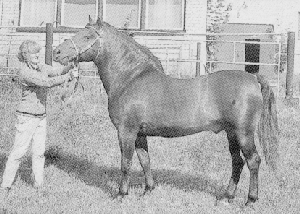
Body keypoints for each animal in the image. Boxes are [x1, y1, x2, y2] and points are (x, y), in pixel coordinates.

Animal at [52, 18, 280, 206]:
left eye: (87, 36)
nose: (57, 52)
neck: (130, 78)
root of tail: (253, 78)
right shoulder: (140, 134)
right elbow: (144, 160)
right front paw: (148, 190)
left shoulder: (126, 131)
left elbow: (126, 162)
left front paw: (121, 194)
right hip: (231, 133)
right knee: (237, 162)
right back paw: (226, 197)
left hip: (243, 133)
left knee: (253, 161)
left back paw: (250, 200)